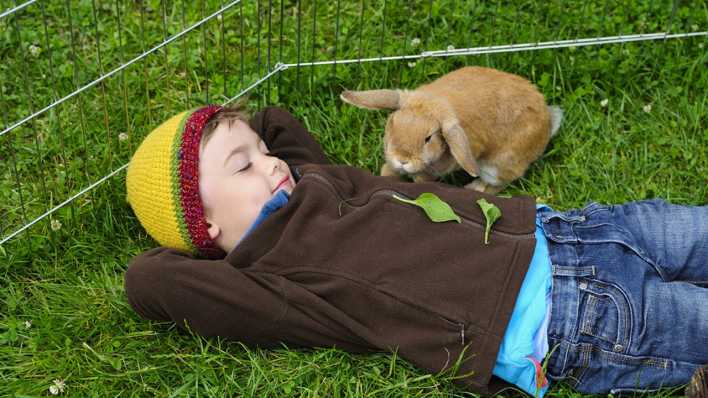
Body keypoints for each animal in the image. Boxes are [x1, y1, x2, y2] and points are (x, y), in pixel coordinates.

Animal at [340, 66, 560, 194]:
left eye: (428, 138)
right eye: (392, 123)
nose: (402, 159)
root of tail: (548, 122)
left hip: (496, 166)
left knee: (496, 185)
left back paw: (474, 188)